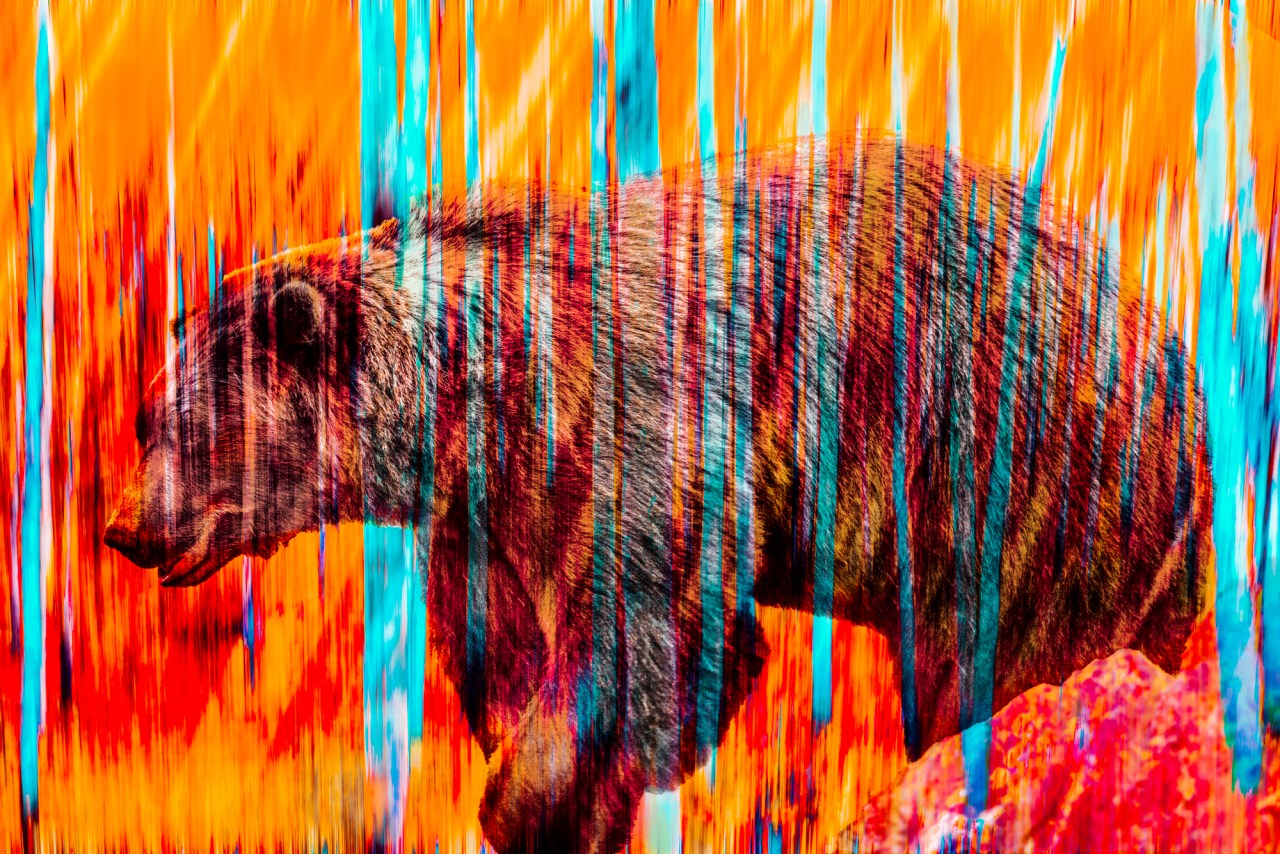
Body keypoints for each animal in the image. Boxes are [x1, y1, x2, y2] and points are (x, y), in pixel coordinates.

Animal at [104, 135, 1212, 853]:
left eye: (193, 429)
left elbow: (647, 640)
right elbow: (508, 651)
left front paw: (528, 803)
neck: (475, 401)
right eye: (147, 420)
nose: (122, 527)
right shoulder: (486, 524)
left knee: (989, 663)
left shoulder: (638, 436)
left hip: (1014, 473)